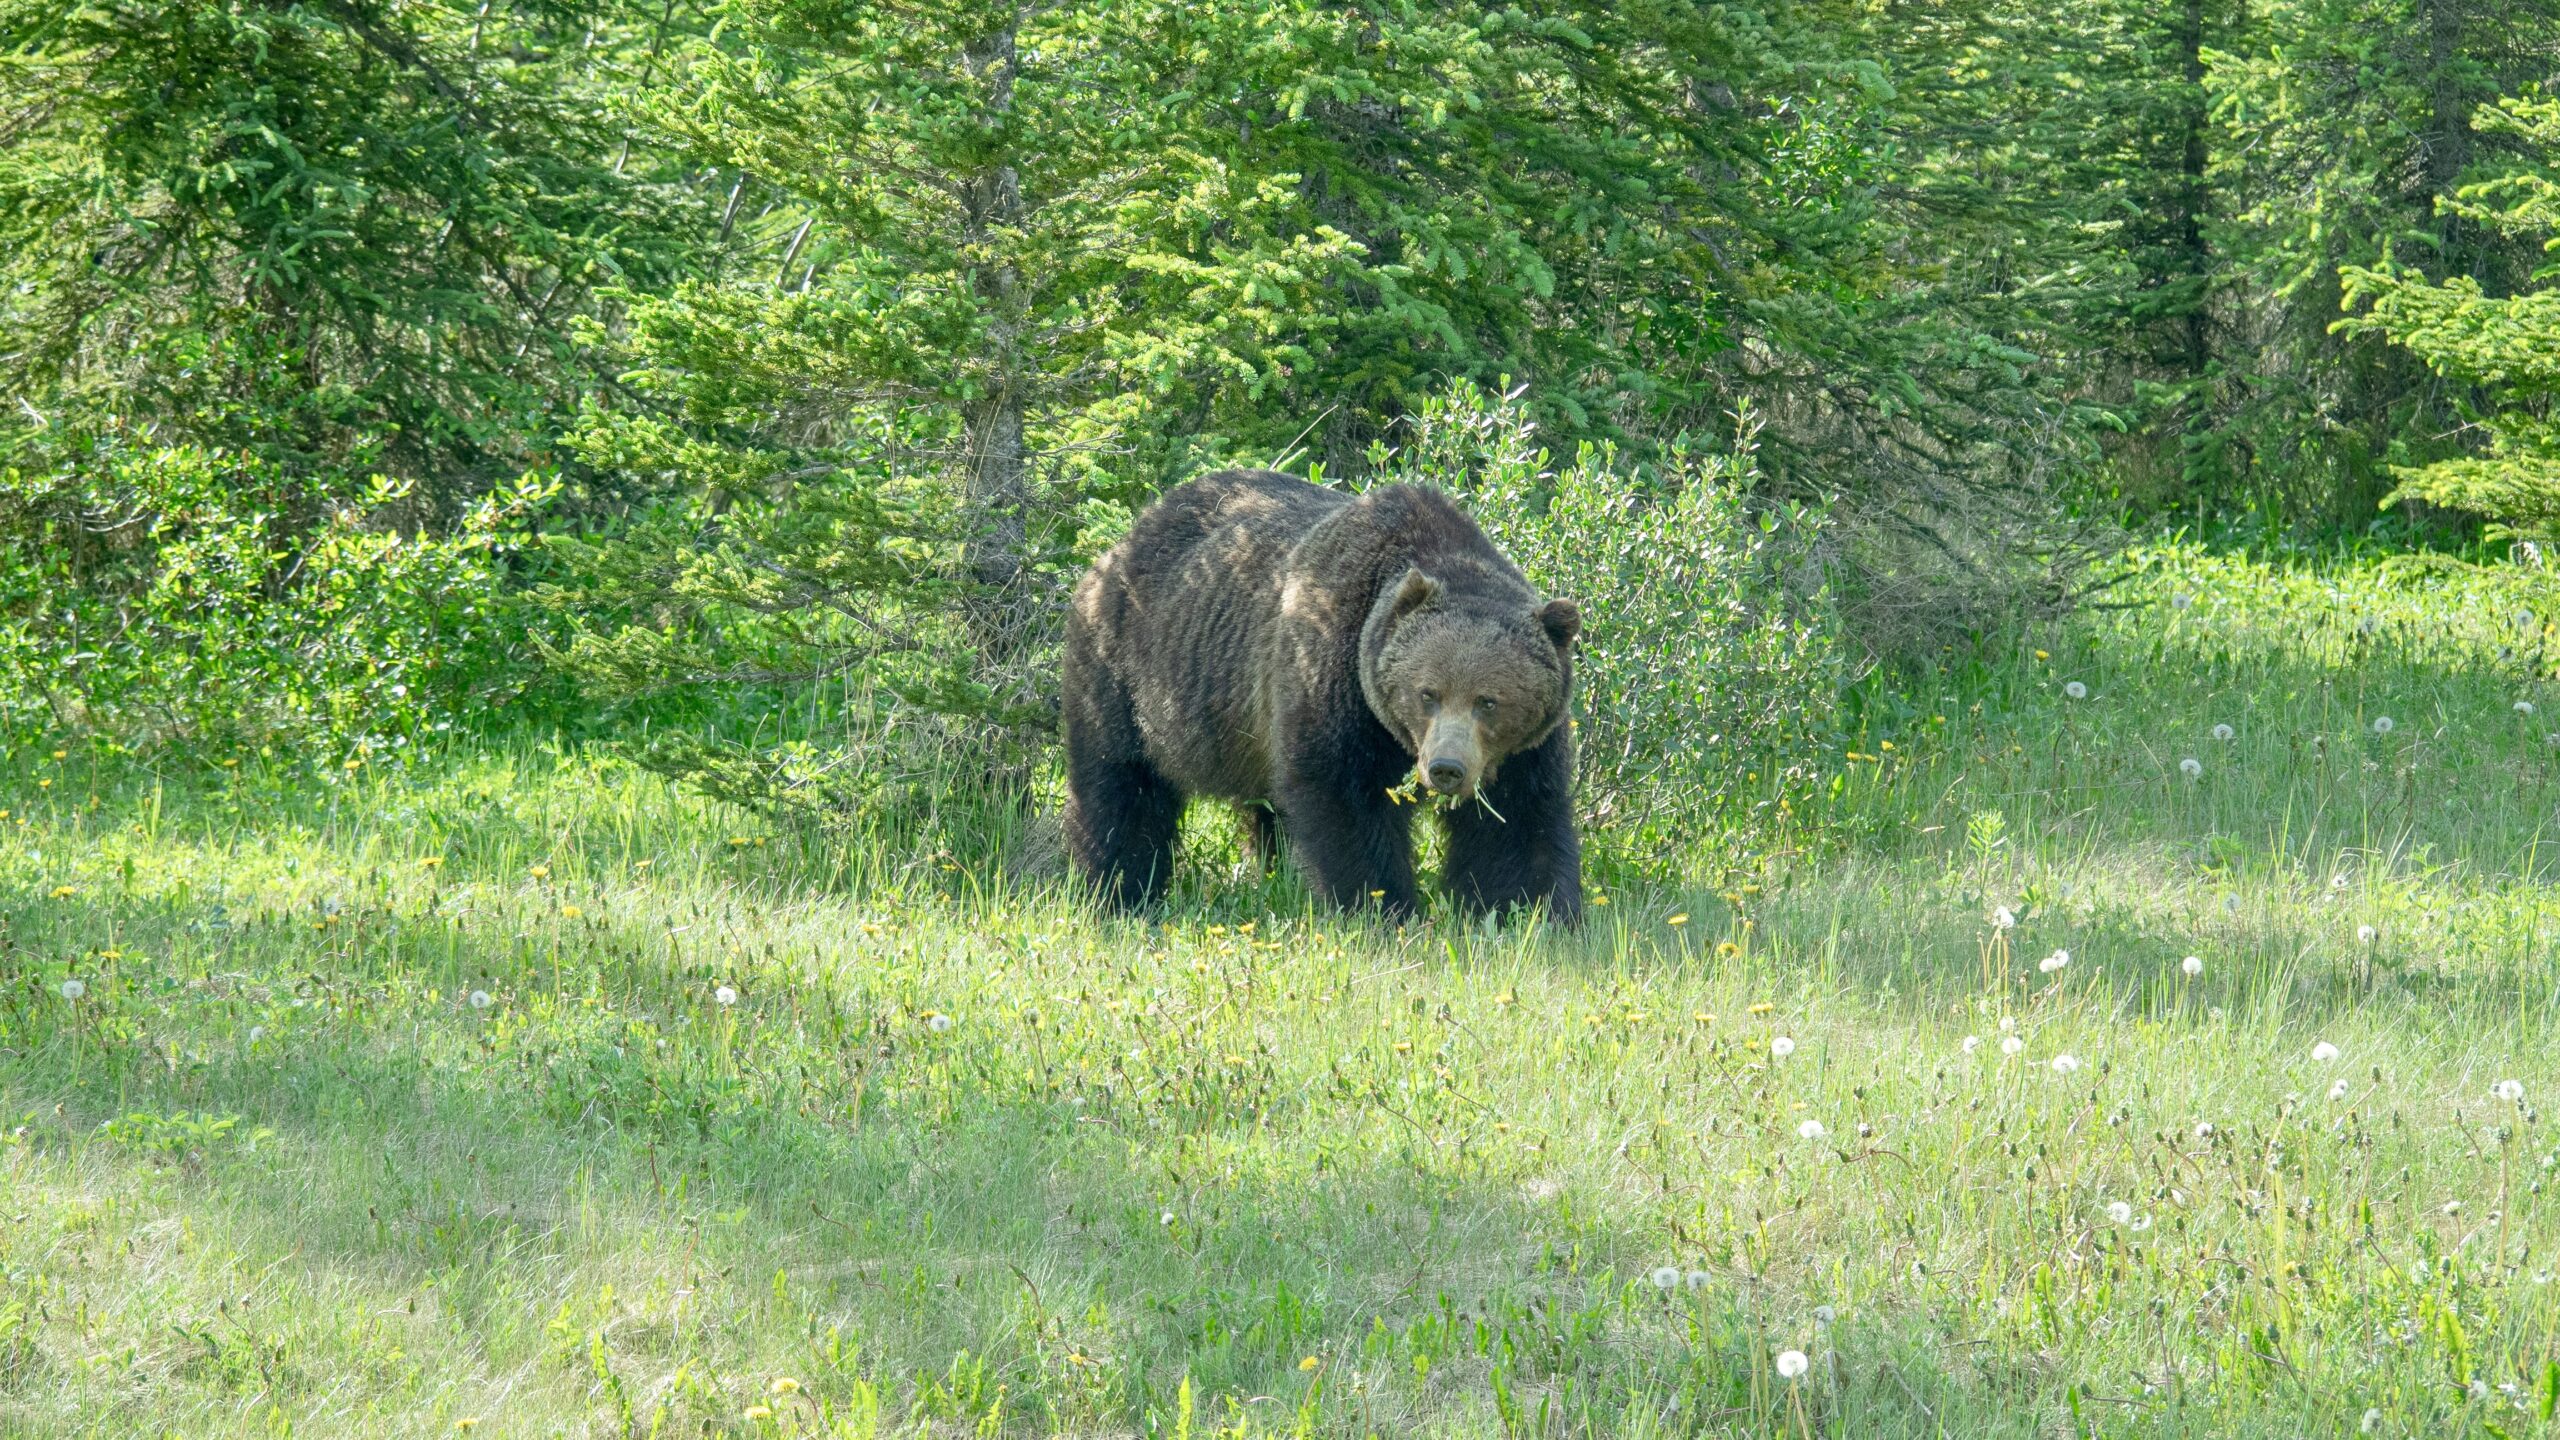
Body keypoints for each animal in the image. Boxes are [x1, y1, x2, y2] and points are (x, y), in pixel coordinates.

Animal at [1059, 471, 1576, 917]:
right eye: (1428, 693)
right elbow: (1345, 801)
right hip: (1130, 675)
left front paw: (1536, 912)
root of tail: (1121, 542)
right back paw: (1118, 890)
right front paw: (1383, 906)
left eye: (1488, 700)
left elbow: (1518, 823)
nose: (1446, 768)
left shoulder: (1523, 751)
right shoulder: (1329, 674)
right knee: (1121, 788)